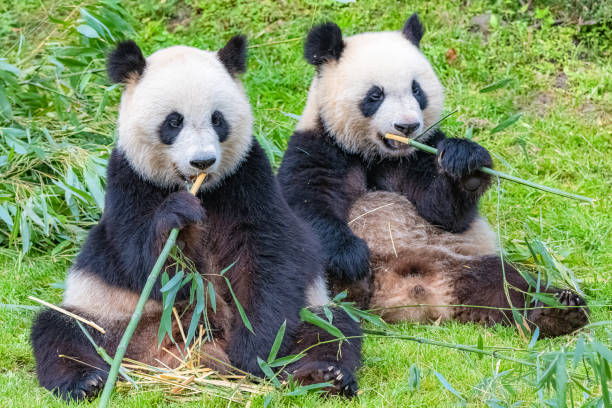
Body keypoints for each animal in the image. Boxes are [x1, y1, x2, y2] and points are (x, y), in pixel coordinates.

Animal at [29, 35, 364, 402]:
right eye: (173, 122)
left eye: (218, 119)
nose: (202, 161)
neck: (201, 190)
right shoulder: (128, 181)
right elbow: (143, 261)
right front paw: (178, 217)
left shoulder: (248, 178)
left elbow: (268, 255)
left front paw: (254, 351)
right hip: (109, 316)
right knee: (62, 332)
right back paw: (87, 381)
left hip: (308, 310)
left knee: (331, 329)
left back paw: (323, 375)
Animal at [278, 13, 588, 338]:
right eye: (375, 95)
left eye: (417, 90)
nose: (407, 126)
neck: (376, 155)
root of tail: (412, 297)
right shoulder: (316, 148)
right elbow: (308, 206)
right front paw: (350, 258)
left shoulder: (422, 152)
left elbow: (443, 213)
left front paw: (467, 167)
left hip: (460, 261)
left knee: (508, 283)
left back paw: (558, 310)